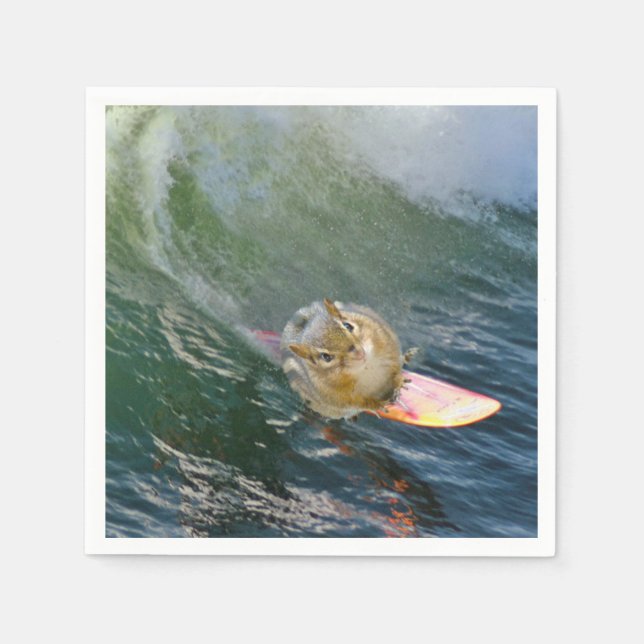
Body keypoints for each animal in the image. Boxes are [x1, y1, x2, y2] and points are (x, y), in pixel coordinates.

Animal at [280, 298, 418, 420]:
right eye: (326, 357)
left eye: (347, 326)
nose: (358, 352)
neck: (366, 367)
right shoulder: (336, 395)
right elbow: (356, 403)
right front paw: (376, 405)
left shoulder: (387, 342)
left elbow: (395, 366)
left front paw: (399, 380)